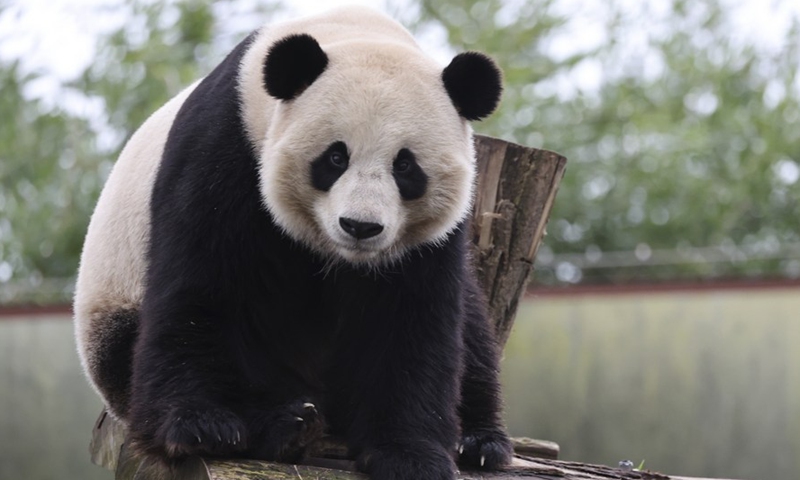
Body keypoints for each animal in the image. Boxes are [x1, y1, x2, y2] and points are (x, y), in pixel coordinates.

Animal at [74, 6, 511, 480]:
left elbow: (412, 322)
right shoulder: (225, 146)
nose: (360, 226)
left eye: (405, 166)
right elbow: (200, 286)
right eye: (336, 157)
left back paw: (480, 442)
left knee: (473, 334)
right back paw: (286, 423)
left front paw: (411, 455)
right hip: (114, 310)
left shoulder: (430, 240)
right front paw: (201, 425)